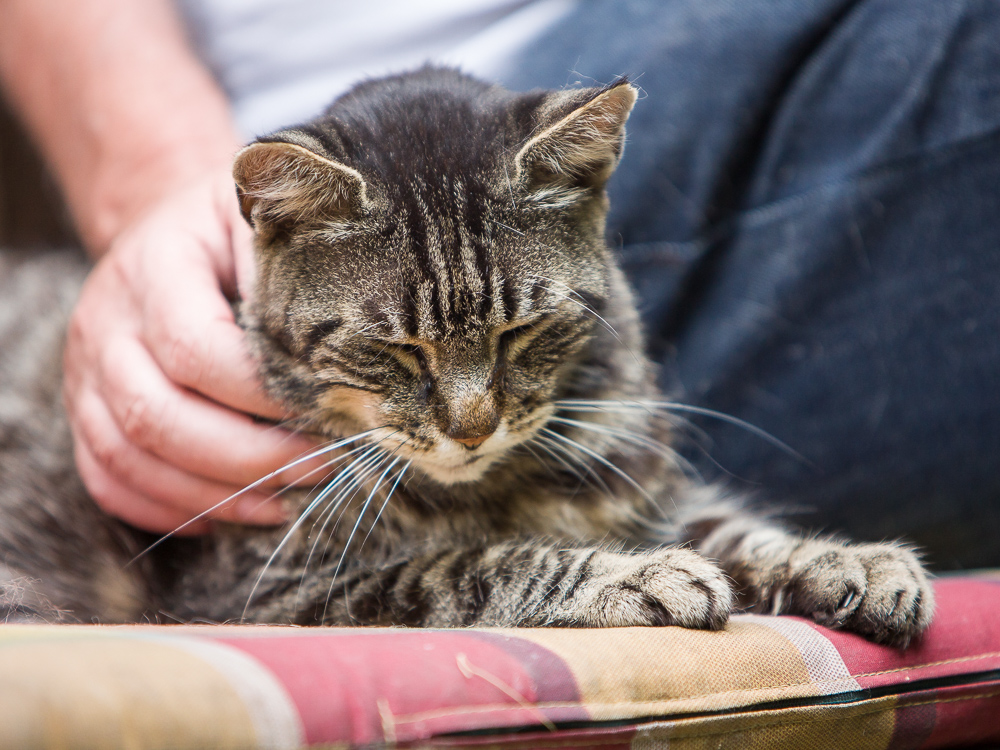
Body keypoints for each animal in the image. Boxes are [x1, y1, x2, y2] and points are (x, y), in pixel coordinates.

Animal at [0, 69, 932, 648]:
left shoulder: (645, 491)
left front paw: (855, 560)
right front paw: (639, 576)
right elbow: (474, 565)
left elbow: (737, 528)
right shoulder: (269, 593)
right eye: (391, 348)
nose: (473, 426)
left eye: (522, 331)